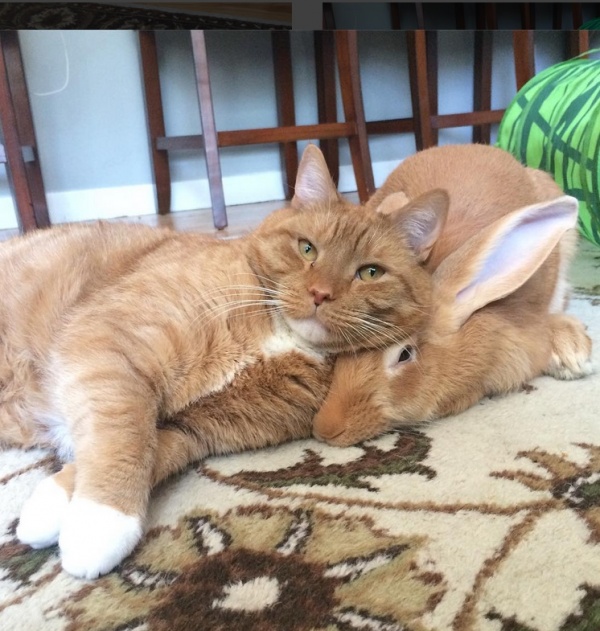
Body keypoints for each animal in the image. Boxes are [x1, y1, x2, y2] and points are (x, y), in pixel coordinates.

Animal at [0, 144, 448, 579]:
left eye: (370, 273)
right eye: (307, 248)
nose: (320, 293)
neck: (279, 333)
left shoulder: (192, 430)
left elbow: (148, 451)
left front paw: (62, 509)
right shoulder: (110, 346)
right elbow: (125, 434)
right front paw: (100, 524)